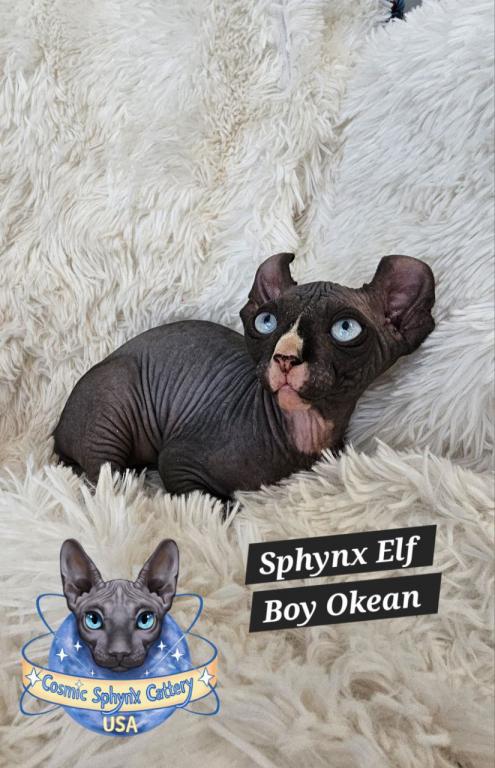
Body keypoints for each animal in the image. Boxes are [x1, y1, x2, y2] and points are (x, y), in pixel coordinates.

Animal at [54, 253, 435, 500]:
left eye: (345, 329)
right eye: (266, 321)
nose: (285, 357)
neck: (303, 431)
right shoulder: (177, 460)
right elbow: (214, 501)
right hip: (114, 391)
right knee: (105, 474)